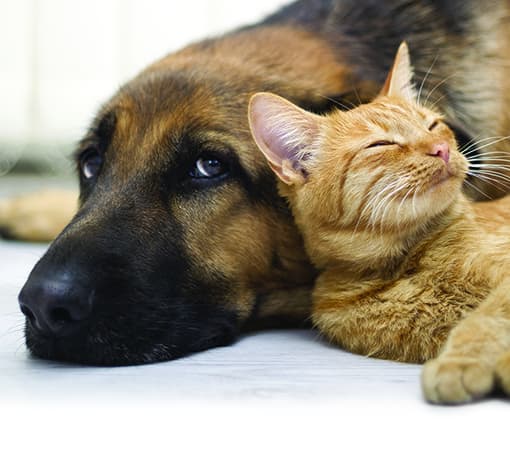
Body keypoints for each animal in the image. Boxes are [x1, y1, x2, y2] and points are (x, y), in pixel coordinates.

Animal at [249, 42, 510, 404]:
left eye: (433, 126)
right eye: (381, 144)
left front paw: (459, 362)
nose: (441, 149)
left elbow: (487, 317)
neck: (405, 265)